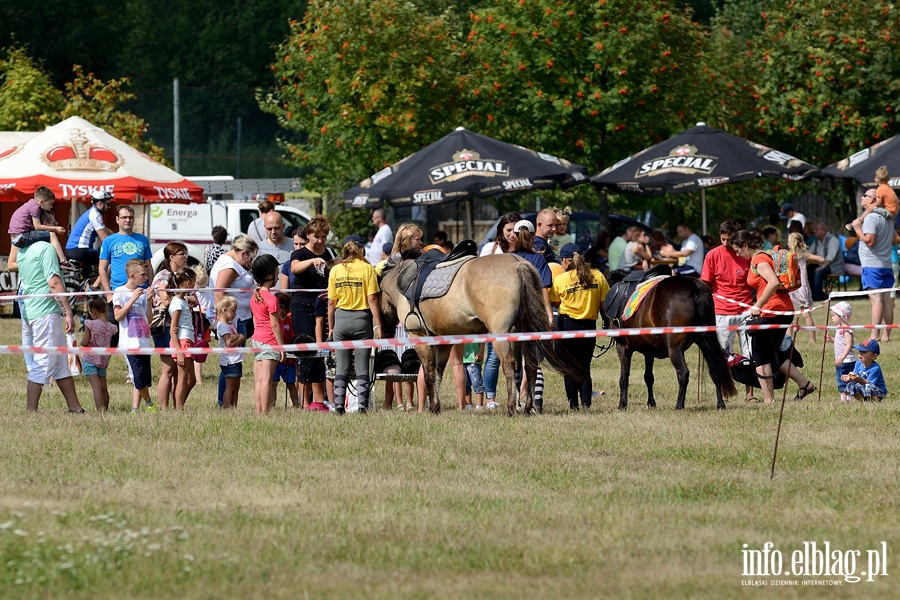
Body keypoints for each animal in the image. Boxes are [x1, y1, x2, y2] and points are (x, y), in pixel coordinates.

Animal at [378, 251, 584, 414]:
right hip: (523, 334)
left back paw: (511, 407)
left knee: (509, 365)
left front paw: (433, 407)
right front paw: (435, 406)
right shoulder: (443, 341)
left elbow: (429, 373)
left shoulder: (420, 337)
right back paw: (528, 408)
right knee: (530, 366)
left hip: (501, 335)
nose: (385, 319)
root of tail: (518, 263)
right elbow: (438, 372)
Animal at [604, 274, 740, 410]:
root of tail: (694, 287)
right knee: (715, 370)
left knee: (683, 373)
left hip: (675, 349)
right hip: (705, 341)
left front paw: (622, 404)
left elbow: (624, 378)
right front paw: (651, 403)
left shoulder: (623, 347)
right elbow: (648, 377)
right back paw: (720, 404)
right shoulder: (649, 351)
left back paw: (679, 405)